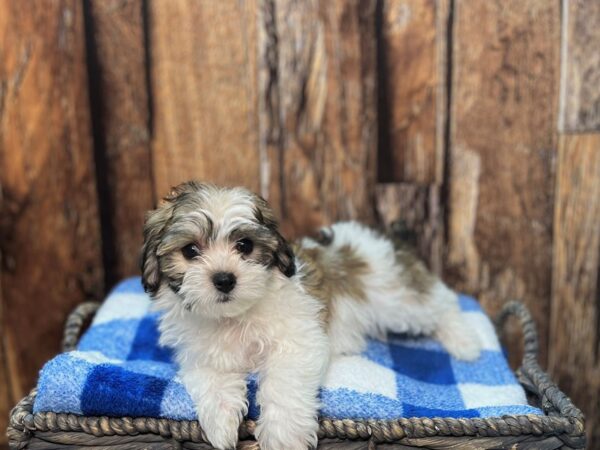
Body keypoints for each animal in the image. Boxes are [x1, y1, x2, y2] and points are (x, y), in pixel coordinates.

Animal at [142, 181, 482, 448]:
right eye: (190, 251)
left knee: (443, 303)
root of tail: (388, 238)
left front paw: (283, 438)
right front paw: (220, 427)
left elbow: (283, 385)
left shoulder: (297, 341)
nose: (224, 279)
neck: (233, 316)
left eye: (245, 245)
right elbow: (212, 382)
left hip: (397, 299)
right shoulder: (201, 355)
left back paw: (465, 342)